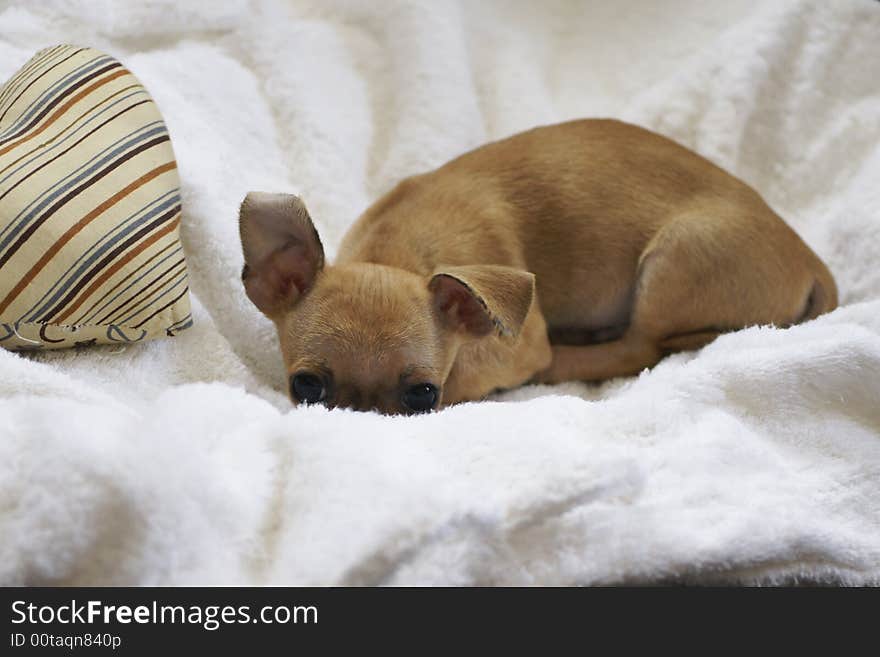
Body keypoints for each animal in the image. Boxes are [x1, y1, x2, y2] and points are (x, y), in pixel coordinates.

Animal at [239, 120, 840, 412]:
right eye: (305, 387)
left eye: (422, 396)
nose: (357, 417)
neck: (397, 253)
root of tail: (811, 259)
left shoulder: (515, 344)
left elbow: (473, 374)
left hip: (675, 260)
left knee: (638, 347)